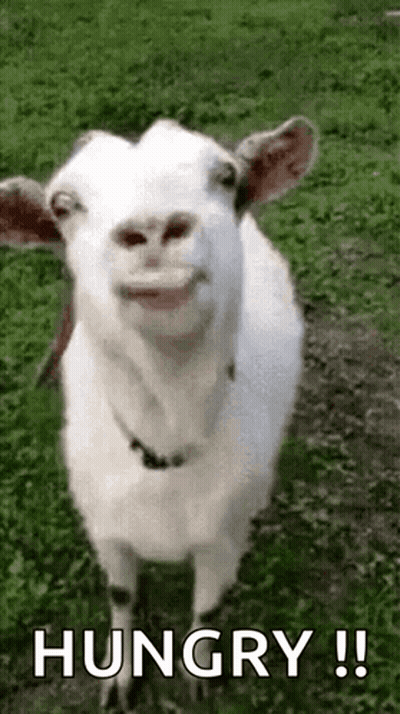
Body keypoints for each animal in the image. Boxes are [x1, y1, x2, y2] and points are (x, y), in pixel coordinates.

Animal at [0, 117, 317, 711]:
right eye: (63, 204)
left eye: (225, 177)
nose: (151, 229)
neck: (168, 434)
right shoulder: (106, 526)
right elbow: (122, 596)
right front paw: (120, 679)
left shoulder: (221, 537)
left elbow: (208, 606)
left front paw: (198, 673)